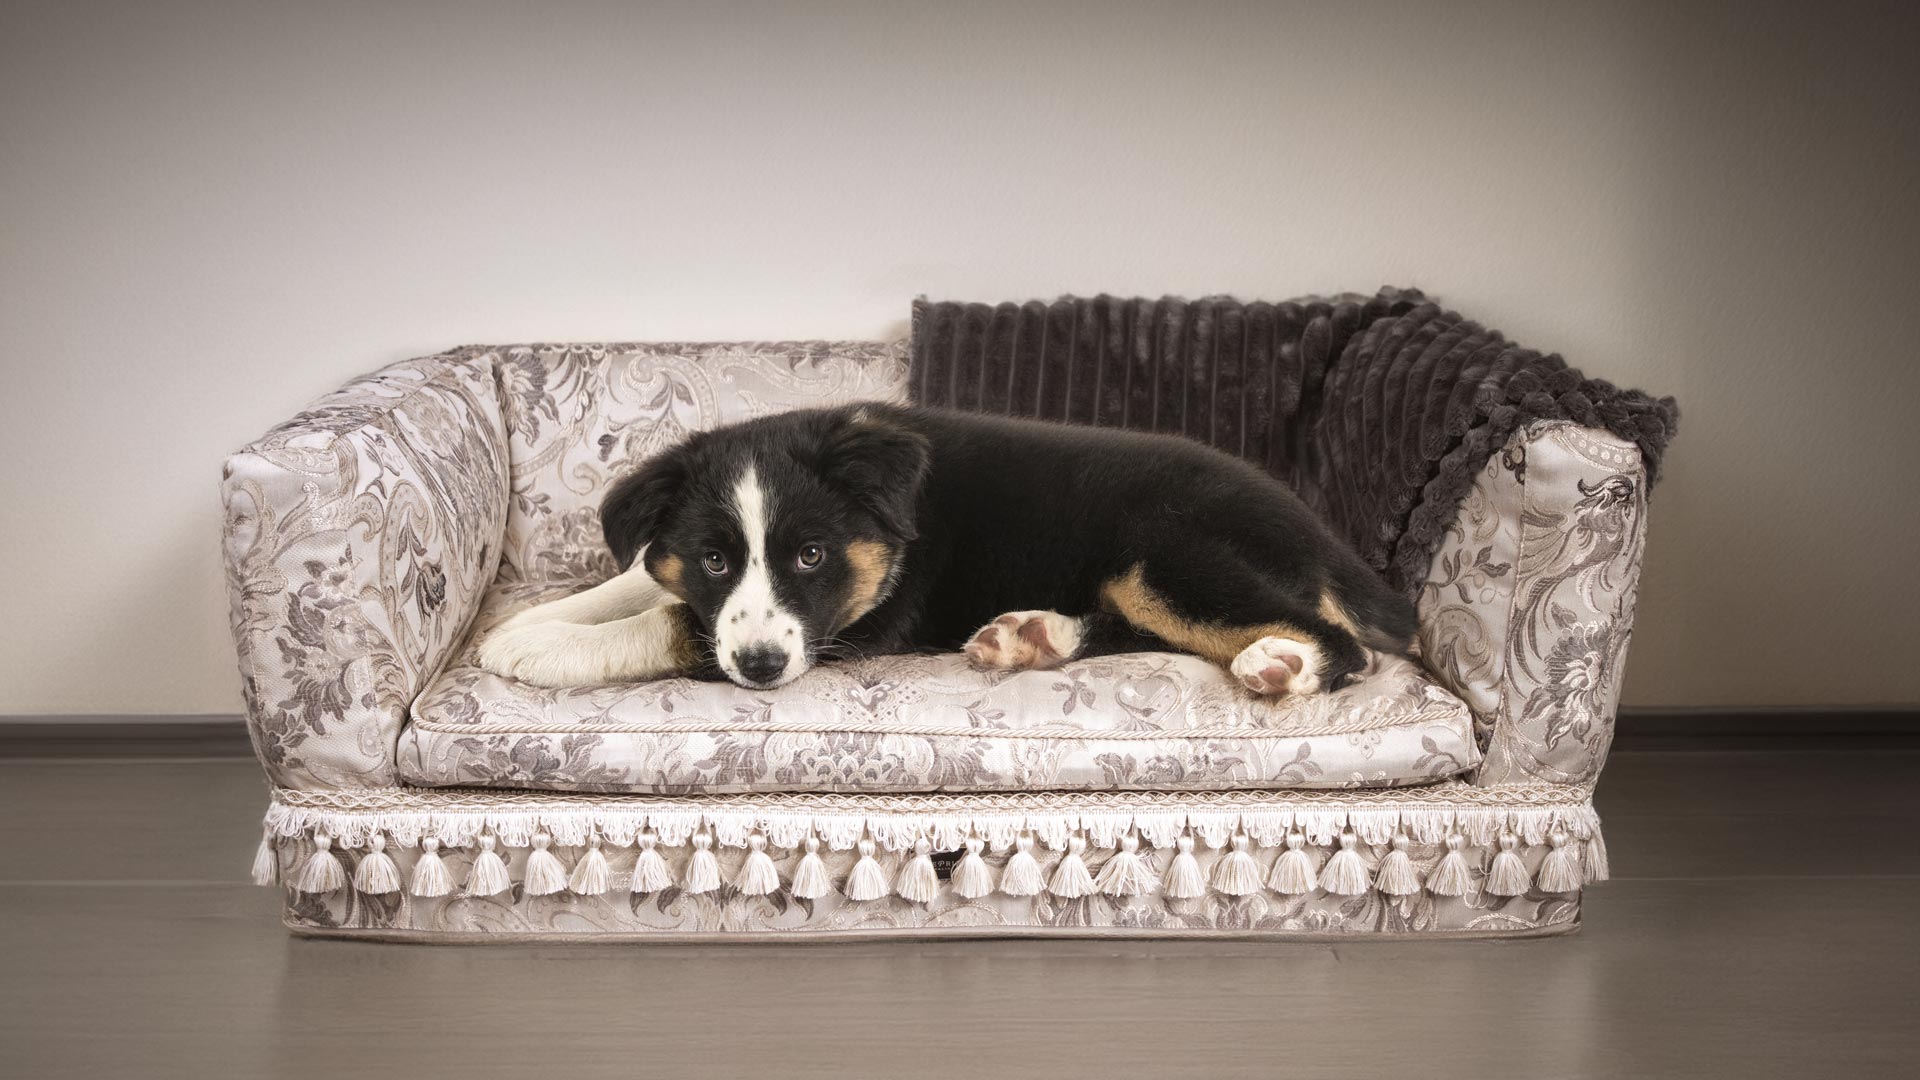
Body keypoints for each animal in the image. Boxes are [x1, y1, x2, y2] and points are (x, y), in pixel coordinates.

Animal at [474, 401, 1420, 687]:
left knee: (1340, 644)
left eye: (811, 556)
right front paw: (530, 625)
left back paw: (1281, 665)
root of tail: (1319, 531)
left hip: (1166, 554)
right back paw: (1031, 636)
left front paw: (539, 651)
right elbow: (646, 580)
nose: (763, 671)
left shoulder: (861, 621)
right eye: (714, 558)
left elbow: (677, 624)